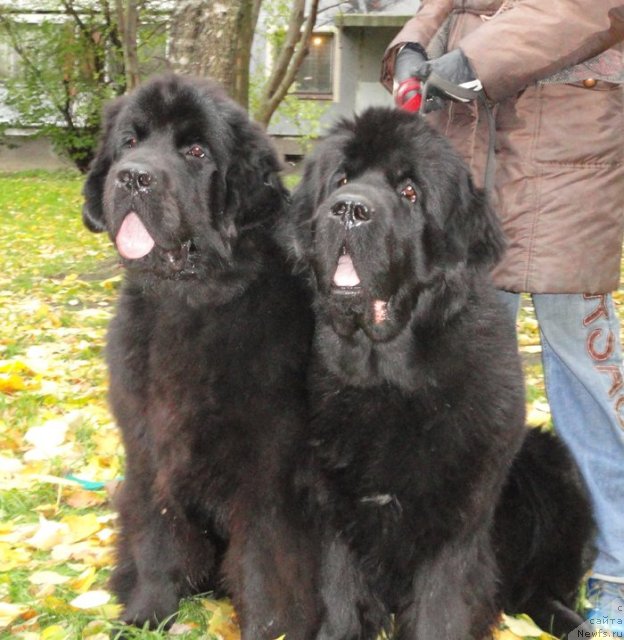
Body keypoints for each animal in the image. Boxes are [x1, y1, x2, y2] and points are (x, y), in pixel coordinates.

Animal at [82, 74, 316, 636]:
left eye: (196, 151)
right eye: (129, 141)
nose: (133, 177)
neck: (188, 303)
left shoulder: (269, 474)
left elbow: (265, 566)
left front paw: (271, 631)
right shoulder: (151, 453)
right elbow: (159, 541)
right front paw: (148, 614)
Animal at [290, 107, 592, 636]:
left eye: (410, 192)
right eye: (341, 180)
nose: (348, 209)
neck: (387, 379)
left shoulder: (457, 524)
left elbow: (440, 611)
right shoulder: (329, 514)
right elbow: (338, 601)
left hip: (556, 467)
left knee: (540, 588)